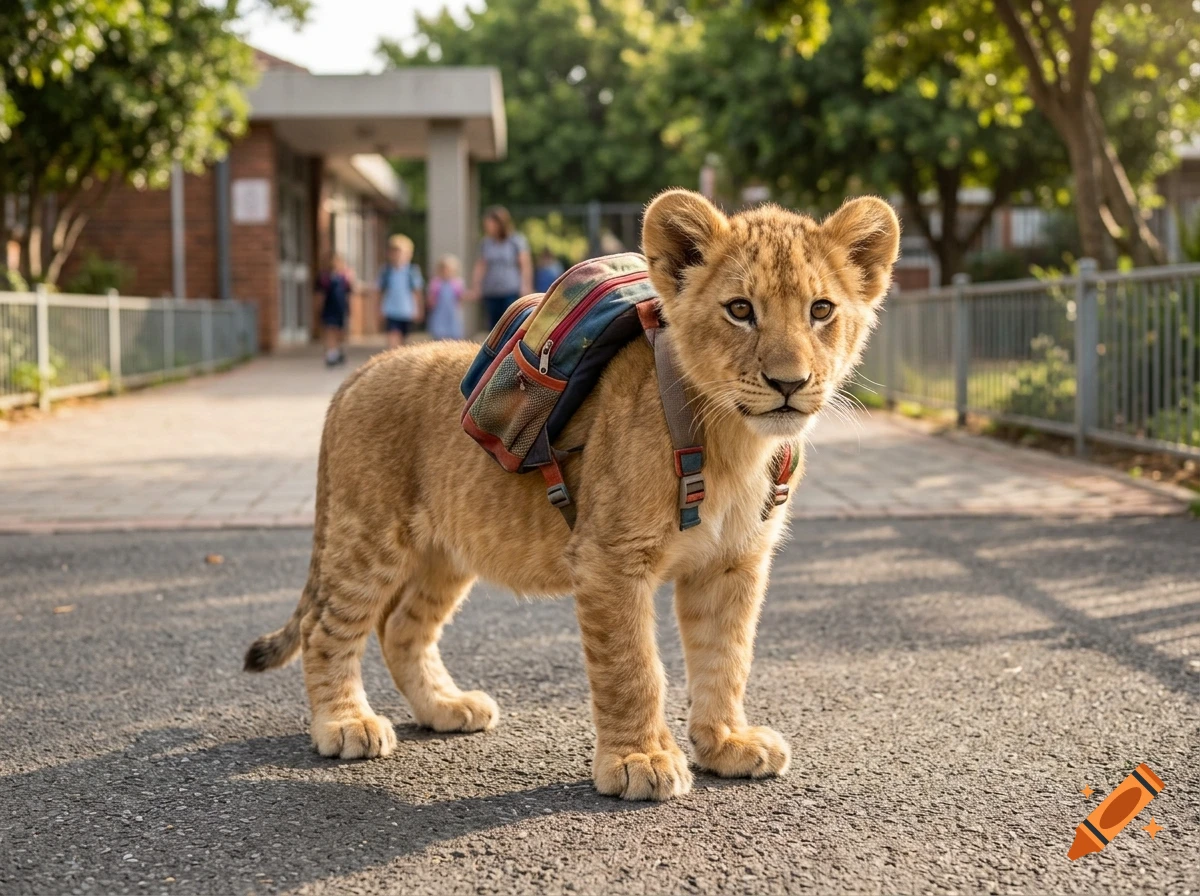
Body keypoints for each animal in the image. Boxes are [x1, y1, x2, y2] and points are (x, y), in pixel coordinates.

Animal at [244, 189, 900, 801]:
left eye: (821, 310)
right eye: (741, 310)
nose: (789, 383)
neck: (735, 442)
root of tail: (359, 373)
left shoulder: (732, 562)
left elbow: (727, 656)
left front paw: (727, 744)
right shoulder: (609, 558)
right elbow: (633, 667)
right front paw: (640, 761)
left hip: (445, 552)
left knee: (402, 626)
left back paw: (446, 707)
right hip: (369, 538)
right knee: (326, 629)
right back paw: (345, 725)